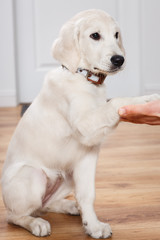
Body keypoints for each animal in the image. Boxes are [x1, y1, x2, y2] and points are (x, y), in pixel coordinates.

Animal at [1, 8, 160, 238]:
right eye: (95, 35)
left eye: (116, 35)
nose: (119, 59)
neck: (83, 78)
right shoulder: (86, 127)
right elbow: (115, 102)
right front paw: (145, 99)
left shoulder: (87, 155)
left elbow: (87, 194)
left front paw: (92, 225)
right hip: (33, 175)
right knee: (15, 215)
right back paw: (35, 223)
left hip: (67, 175)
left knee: (44, 205)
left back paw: (69, 206)